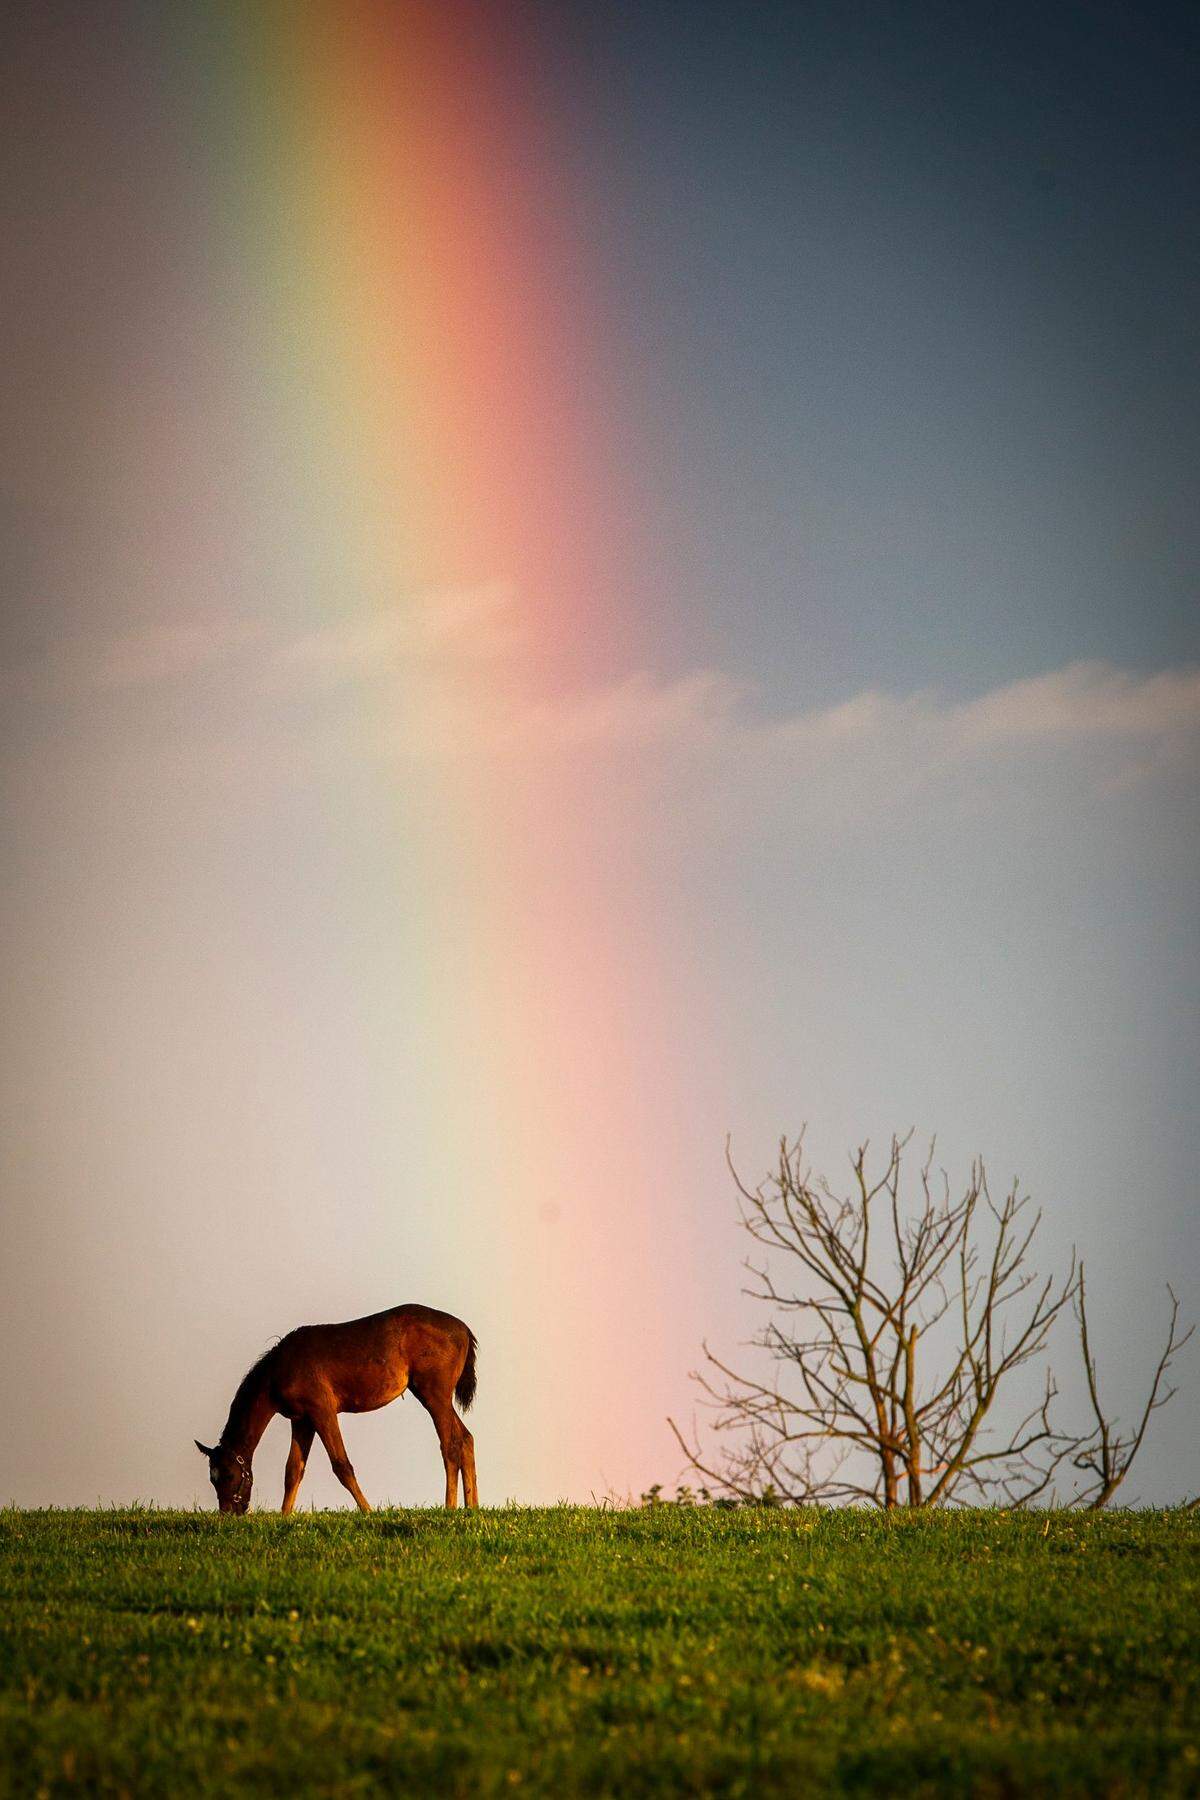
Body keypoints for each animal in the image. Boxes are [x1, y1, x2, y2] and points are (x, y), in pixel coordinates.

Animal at [194, 1303, 478, 1514]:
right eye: (212, 1478)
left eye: (228, 1475)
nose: (229, 1513)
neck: (280, 1369)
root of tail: (464, 1330)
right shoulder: (301, 1420)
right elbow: (292, 1470)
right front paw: (285, 1517)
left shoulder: (322, 1411)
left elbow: (341, 1465)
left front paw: (368, 1512)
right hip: (432, 1396)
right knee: (465, 1438)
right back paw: (471, 1507)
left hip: (434, 1394)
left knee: (450, 1444)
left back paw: (450, 1508)